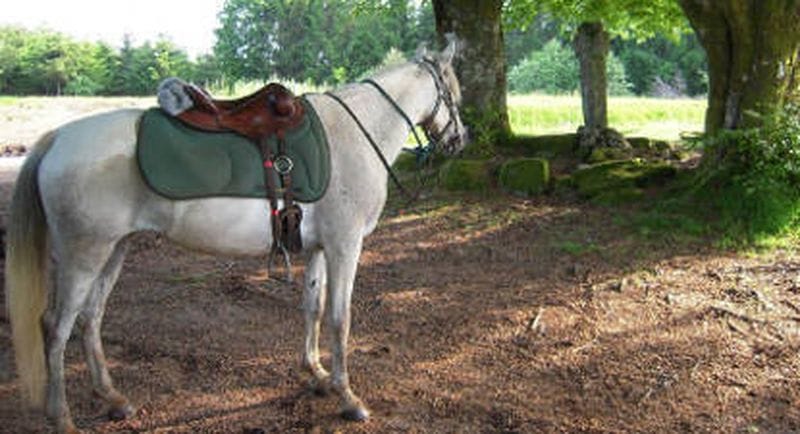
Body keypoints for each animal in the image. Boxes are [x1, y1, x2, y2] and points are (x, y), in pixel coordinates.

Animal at [5, 41, 466, 433]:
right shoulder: (345, 246)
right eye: (456, 95)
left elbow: (312, 307)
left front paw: (315, 373)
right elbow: (340, 318)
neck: (355, 133)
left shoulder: (319, 248)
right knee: (56, 326)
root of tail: (57, 139)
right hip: (84, 254)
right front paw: (347, 396)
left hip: (114, 249)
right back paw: (61, 417)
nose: (461, 140)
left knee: (91, 317)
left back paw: (113, 398)